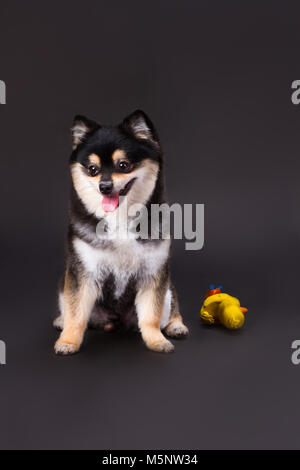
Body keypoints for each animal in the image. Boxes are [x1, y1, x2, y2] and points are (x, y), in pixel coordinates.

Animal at [54, 109, 188, 352]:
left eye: (123, 165)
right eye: (93, 169)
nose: (104, 186)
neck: (119, 219)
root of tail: (115, 322)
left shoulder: (154, 272)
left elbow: (151, 316)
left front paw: (156, 340)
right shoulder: (83, 272)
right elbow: (75, 314)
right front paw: (68, 341)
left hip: (167, 289)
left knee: (171, 308)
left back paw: (176, 326)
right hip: (65, 283)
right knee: (68, 308)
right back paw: (61, 321)